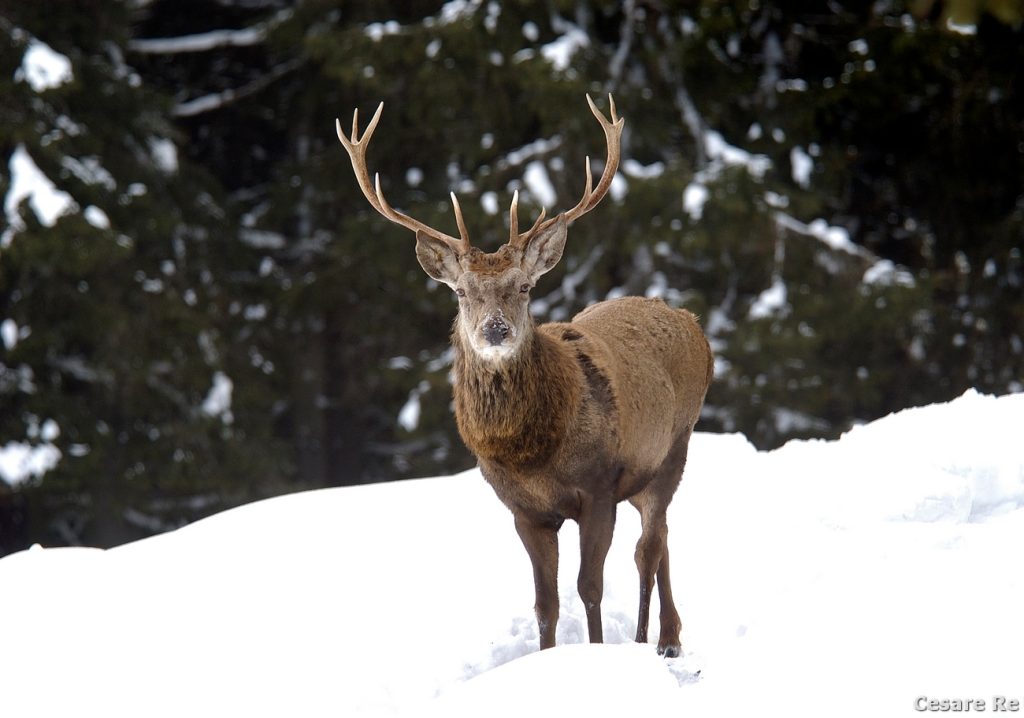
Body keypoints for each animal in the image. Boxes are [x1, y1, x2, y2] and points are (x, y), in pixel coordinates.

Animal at [336, 94, 713, 657]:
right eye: (462, 291)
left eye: (525, 287)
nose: (496, 329)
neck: (532, 455)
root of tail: (693, 324)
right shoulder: (523, 510)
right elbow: (545, 604)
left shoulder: (598, 487)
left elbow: (590, 587)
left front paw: (596, 653)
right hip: (647, 473)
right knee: (660, 540)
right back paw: (666, 637)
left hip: (675, 446)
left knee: (649, 546)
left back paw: (656, 640)